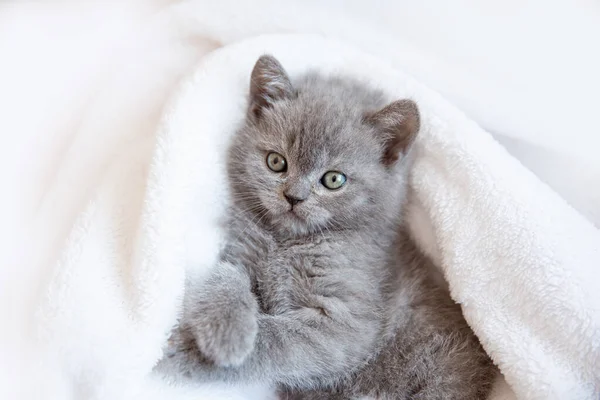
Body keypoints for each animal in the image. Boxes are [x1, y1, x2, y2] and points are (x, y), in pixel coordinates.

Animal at [156, 54, 496, 398]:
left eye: (334, 179)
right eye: (276, 162)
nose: (293, 197)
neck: (285, 242)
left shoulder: (344, 324)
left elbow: (277, 340)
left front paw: (190, 352)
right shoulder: (240, 250)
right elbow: (225, 279)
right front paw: (225, 331)